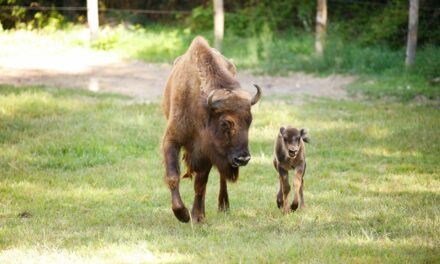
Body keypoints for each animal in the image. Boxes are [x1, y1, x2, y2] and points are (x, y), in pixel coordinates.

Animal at [161, 36, 262, 223]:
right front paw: (182, 214)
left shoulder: (207, 151)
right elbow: (173, 176)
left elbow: (201, 184)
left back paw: (223, 206)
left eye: (249, 121)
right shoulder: (172, 140)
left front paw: (197, 216)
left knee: (222, 177)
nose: (243, 158)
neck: (201, 109)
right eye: (225, 123)